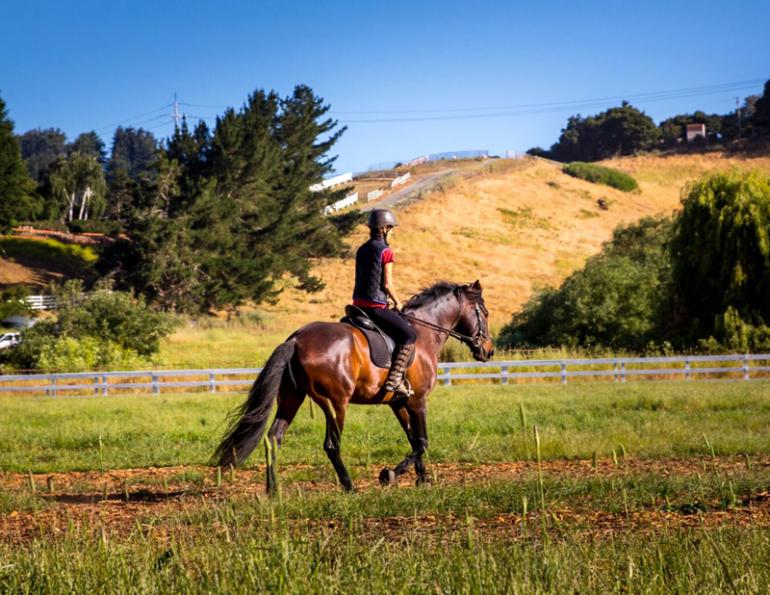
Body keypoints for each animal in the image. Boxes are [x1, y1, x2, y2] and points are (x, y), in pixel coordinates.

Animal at [212, 280, 494, 492]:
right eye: (485, 313)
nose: (489, 351)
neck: (425, 333)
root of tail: (296, 339)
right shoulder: (418, 400)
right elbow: (422, 441)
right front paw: (391, 474)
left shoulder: (398, 403)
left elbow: (414, 439)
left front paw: (421, 479)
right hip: (336, 403)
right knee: (331, 445)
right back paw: (349, 487)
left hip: (291, 399)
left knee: (273, 438)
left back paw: (273, 491)